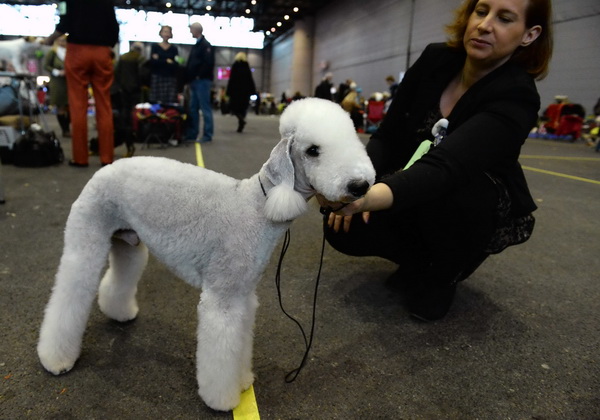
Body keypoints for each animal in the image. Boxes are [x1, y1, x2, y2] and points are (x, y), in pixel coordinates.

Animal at [36, 97, 376, 410]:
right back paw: (55, 358)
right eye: (313, 150)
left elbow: (241, 343)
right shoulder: (223, 297)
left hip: (128, 244)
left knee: (119, 275)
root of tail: (105, 168)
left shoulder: (243, 296)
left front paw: (243, 381)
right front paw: (223, 400)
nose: (360, 185)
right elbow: (221, 352)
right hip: (86, 242)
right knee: (70, 292)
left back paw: (119, 312)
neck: (258, 207)